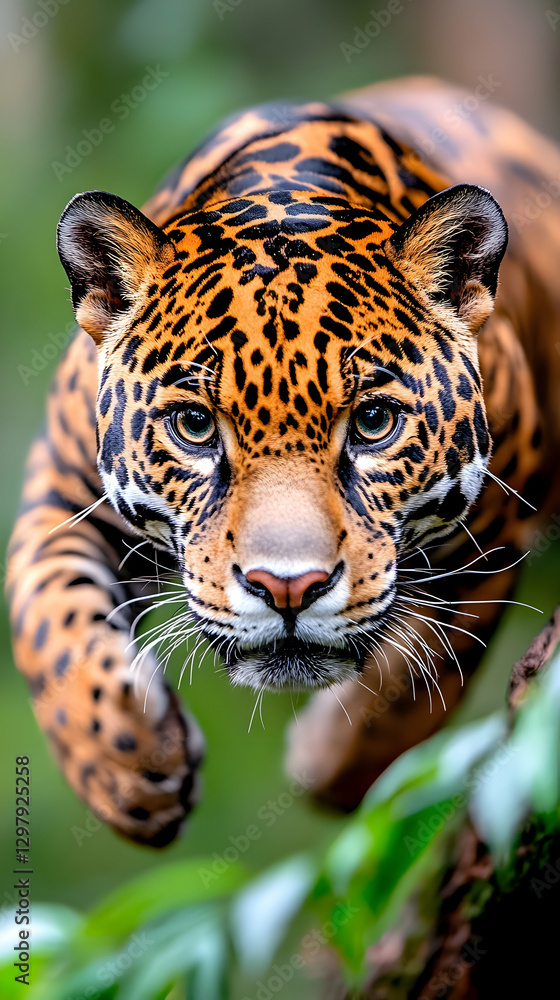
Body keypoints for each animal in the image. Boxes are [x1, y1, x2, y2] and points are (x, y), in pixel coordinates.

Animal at [7, 76, 560, 847]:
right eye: (194, 426)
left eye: (373, 422)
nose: (288, 589)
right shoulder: (58, 498)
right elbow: (49, 624)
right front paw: (131, 769)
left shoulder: (498, 527)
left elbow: (417, 678)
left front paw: (329, 767)